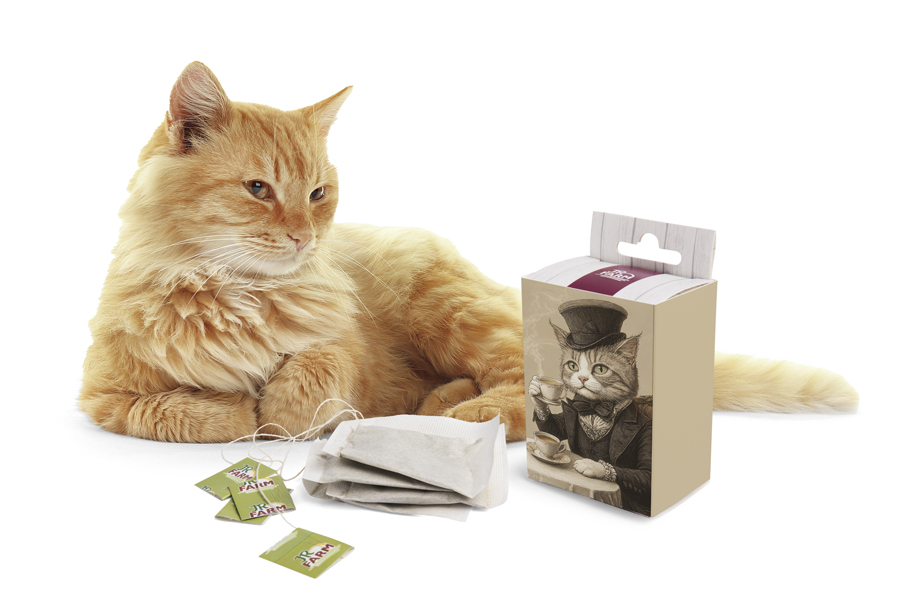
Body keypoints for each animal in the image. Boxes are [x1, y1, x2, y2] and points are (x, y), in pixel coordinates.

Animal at [79, 62, 858, 445]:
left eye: (319, 193)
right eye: (258, 189)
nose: (306, 236)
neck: (236, 294)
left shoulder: (343, 345)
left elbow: (316, 368)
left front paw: (281, 410)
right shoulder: (103, 398)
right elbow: (184, 412)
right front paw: (243, 412)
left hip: (449, 313)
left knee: (523, 385)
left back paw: (456, 416)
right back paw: (437, 401)